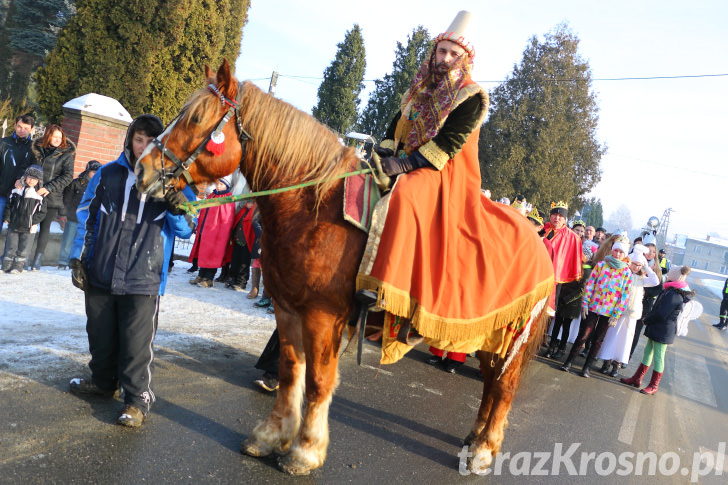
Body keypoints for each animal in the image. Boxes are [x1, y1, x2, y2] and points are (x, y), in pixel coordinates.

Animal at [135, 60, 544, 472]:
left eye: (196, 117)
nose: (143, 170)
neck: (314, 207)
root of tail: (538, 240)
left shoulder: (322, 316)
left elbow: (318, 381)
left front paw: (305, 450)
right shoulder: (287, 308)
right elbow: (290, 372)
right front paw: (271, 436)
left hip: (509, 338)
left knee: (503, 387)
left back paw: (484, 450)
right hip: (491, 336)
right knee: (491, 385)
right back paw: (475, 439)